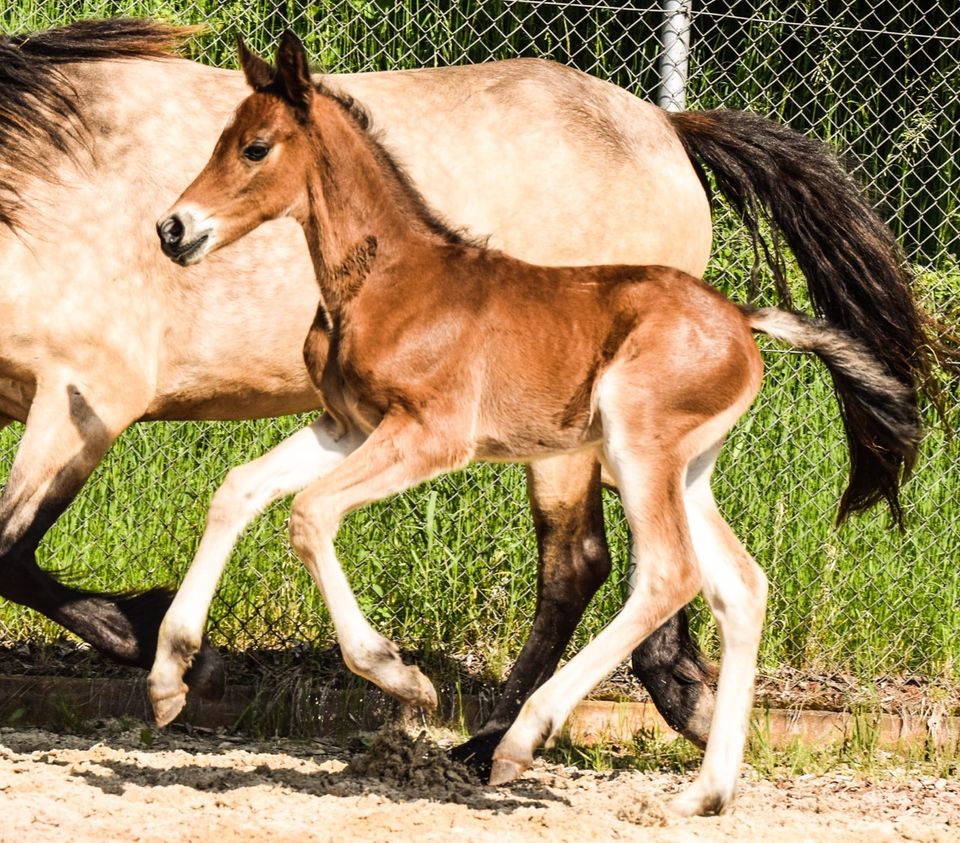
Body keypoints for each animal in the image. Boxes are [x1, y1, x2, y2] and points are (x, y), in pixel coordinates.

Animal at [152, 34, 924, 816]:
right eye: (220, 139)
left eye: (255, 148)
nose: (173, 229)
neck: (388, 279)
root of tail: (743, 319)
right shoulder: (347, 426)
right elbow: (239, 489)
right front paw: (167, 679)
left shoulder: (431, 435)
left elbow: (309, 514)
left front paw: (403, 679)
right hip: (688, 469)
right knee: (739, 586)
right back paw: (704, 793)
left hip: (634, 447)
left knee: (664, 573)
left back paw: (522, 738)